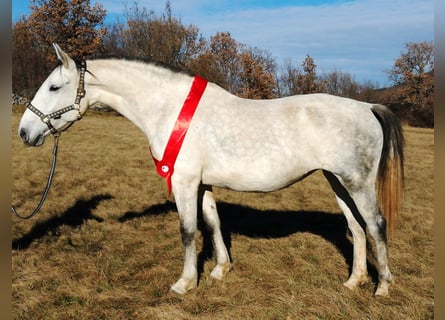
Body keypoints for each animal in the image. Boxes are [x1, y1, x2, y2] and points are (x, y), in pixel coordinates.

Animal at [18, 43, 402, 296]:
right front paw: (220, 269)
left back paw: (382, 287)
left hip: (357, 183)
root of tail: (367, 106)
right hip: (338, 181)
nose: (24, 132)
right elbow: (214, 223)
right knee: (356, 227)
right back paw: (354, 281)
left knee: (375, 225)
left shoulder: (184, 183)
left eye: (54, 86)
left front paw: (185, 282)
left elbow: (188, 231)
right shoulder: (202, 184)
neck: (171, 110)